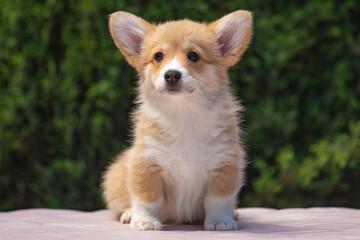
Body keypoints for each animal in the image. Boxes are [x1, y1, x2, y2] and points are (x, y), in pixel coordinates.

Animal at [102, 9, 253, 231]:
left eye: (193, 55)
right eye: (158, 56)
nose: (172, 75)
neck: (184, 115)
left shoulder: (225, 165)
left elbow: (218, 200)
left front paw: (221, 221)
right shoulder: (146, 163)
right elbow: (148, 198)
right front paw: (146, 221)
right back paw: (129, 214)